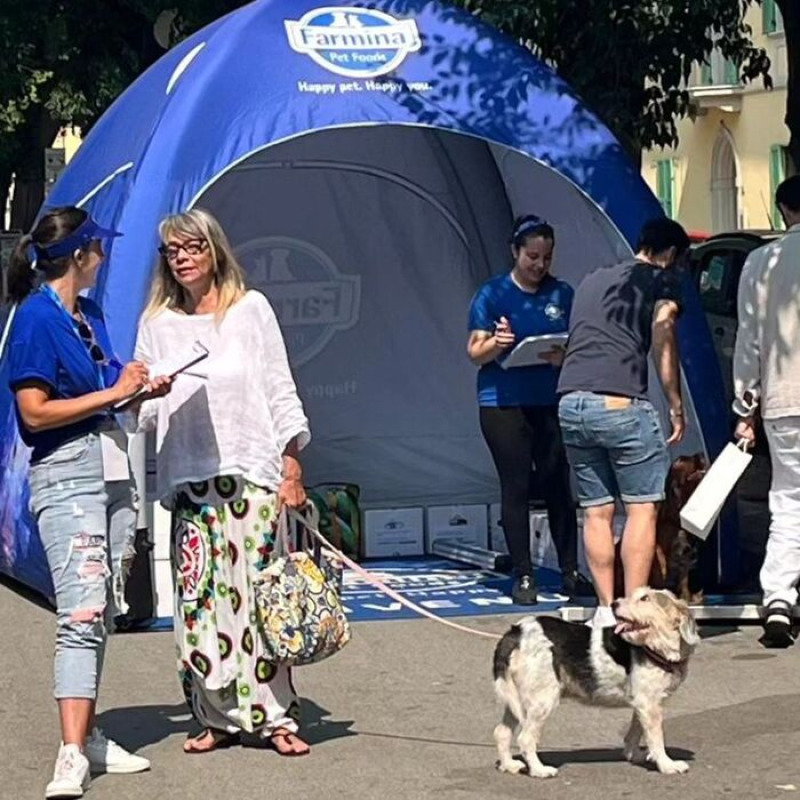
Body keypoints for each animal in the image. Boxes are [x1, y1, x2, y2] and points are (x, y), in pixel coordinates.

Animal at [494, 584, 700, 780]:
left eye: (645, 598)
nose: (614, 604)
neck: (655, 647)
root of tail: (516, 632)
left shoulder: (643, 704)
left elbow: (636, 731)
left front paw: (633, 755)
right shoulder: (649, 705)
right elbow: (656, 739)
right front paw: (667, 765)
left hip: (517, 700)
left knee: (502, 732)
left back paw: (509, 765)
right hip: (542, 700)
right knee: (525, 739)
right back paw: (539, 770)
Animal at [612, 456, 708, 600]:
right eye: (681, 460)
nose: (700, 454)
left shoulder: (686, 552)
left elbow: (684, 577)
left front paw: (687, 597)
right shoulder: (659, 549)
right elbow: (661, 570)